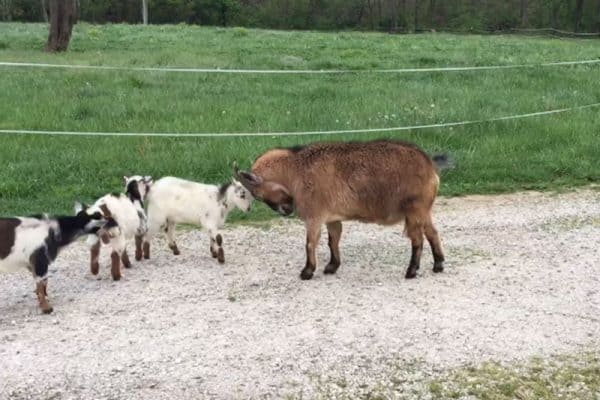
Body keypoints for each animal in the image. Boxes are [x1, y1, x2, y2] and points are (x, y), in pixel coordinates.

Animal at [237, 139, 448, 280]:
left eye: (258, 195)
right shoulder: (331, 217)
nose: (286, 210)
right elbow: (333, 240)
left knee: (417, 239)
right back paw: (438, 264)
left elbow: (310, 243)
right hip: (423, 210)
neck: (296, 170)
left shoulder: (314, 215)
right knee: (432, 232)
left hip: (414, 208)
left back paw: (411, 270)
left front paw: (307, 271)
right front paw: (331, 266)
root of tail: (430, 165)